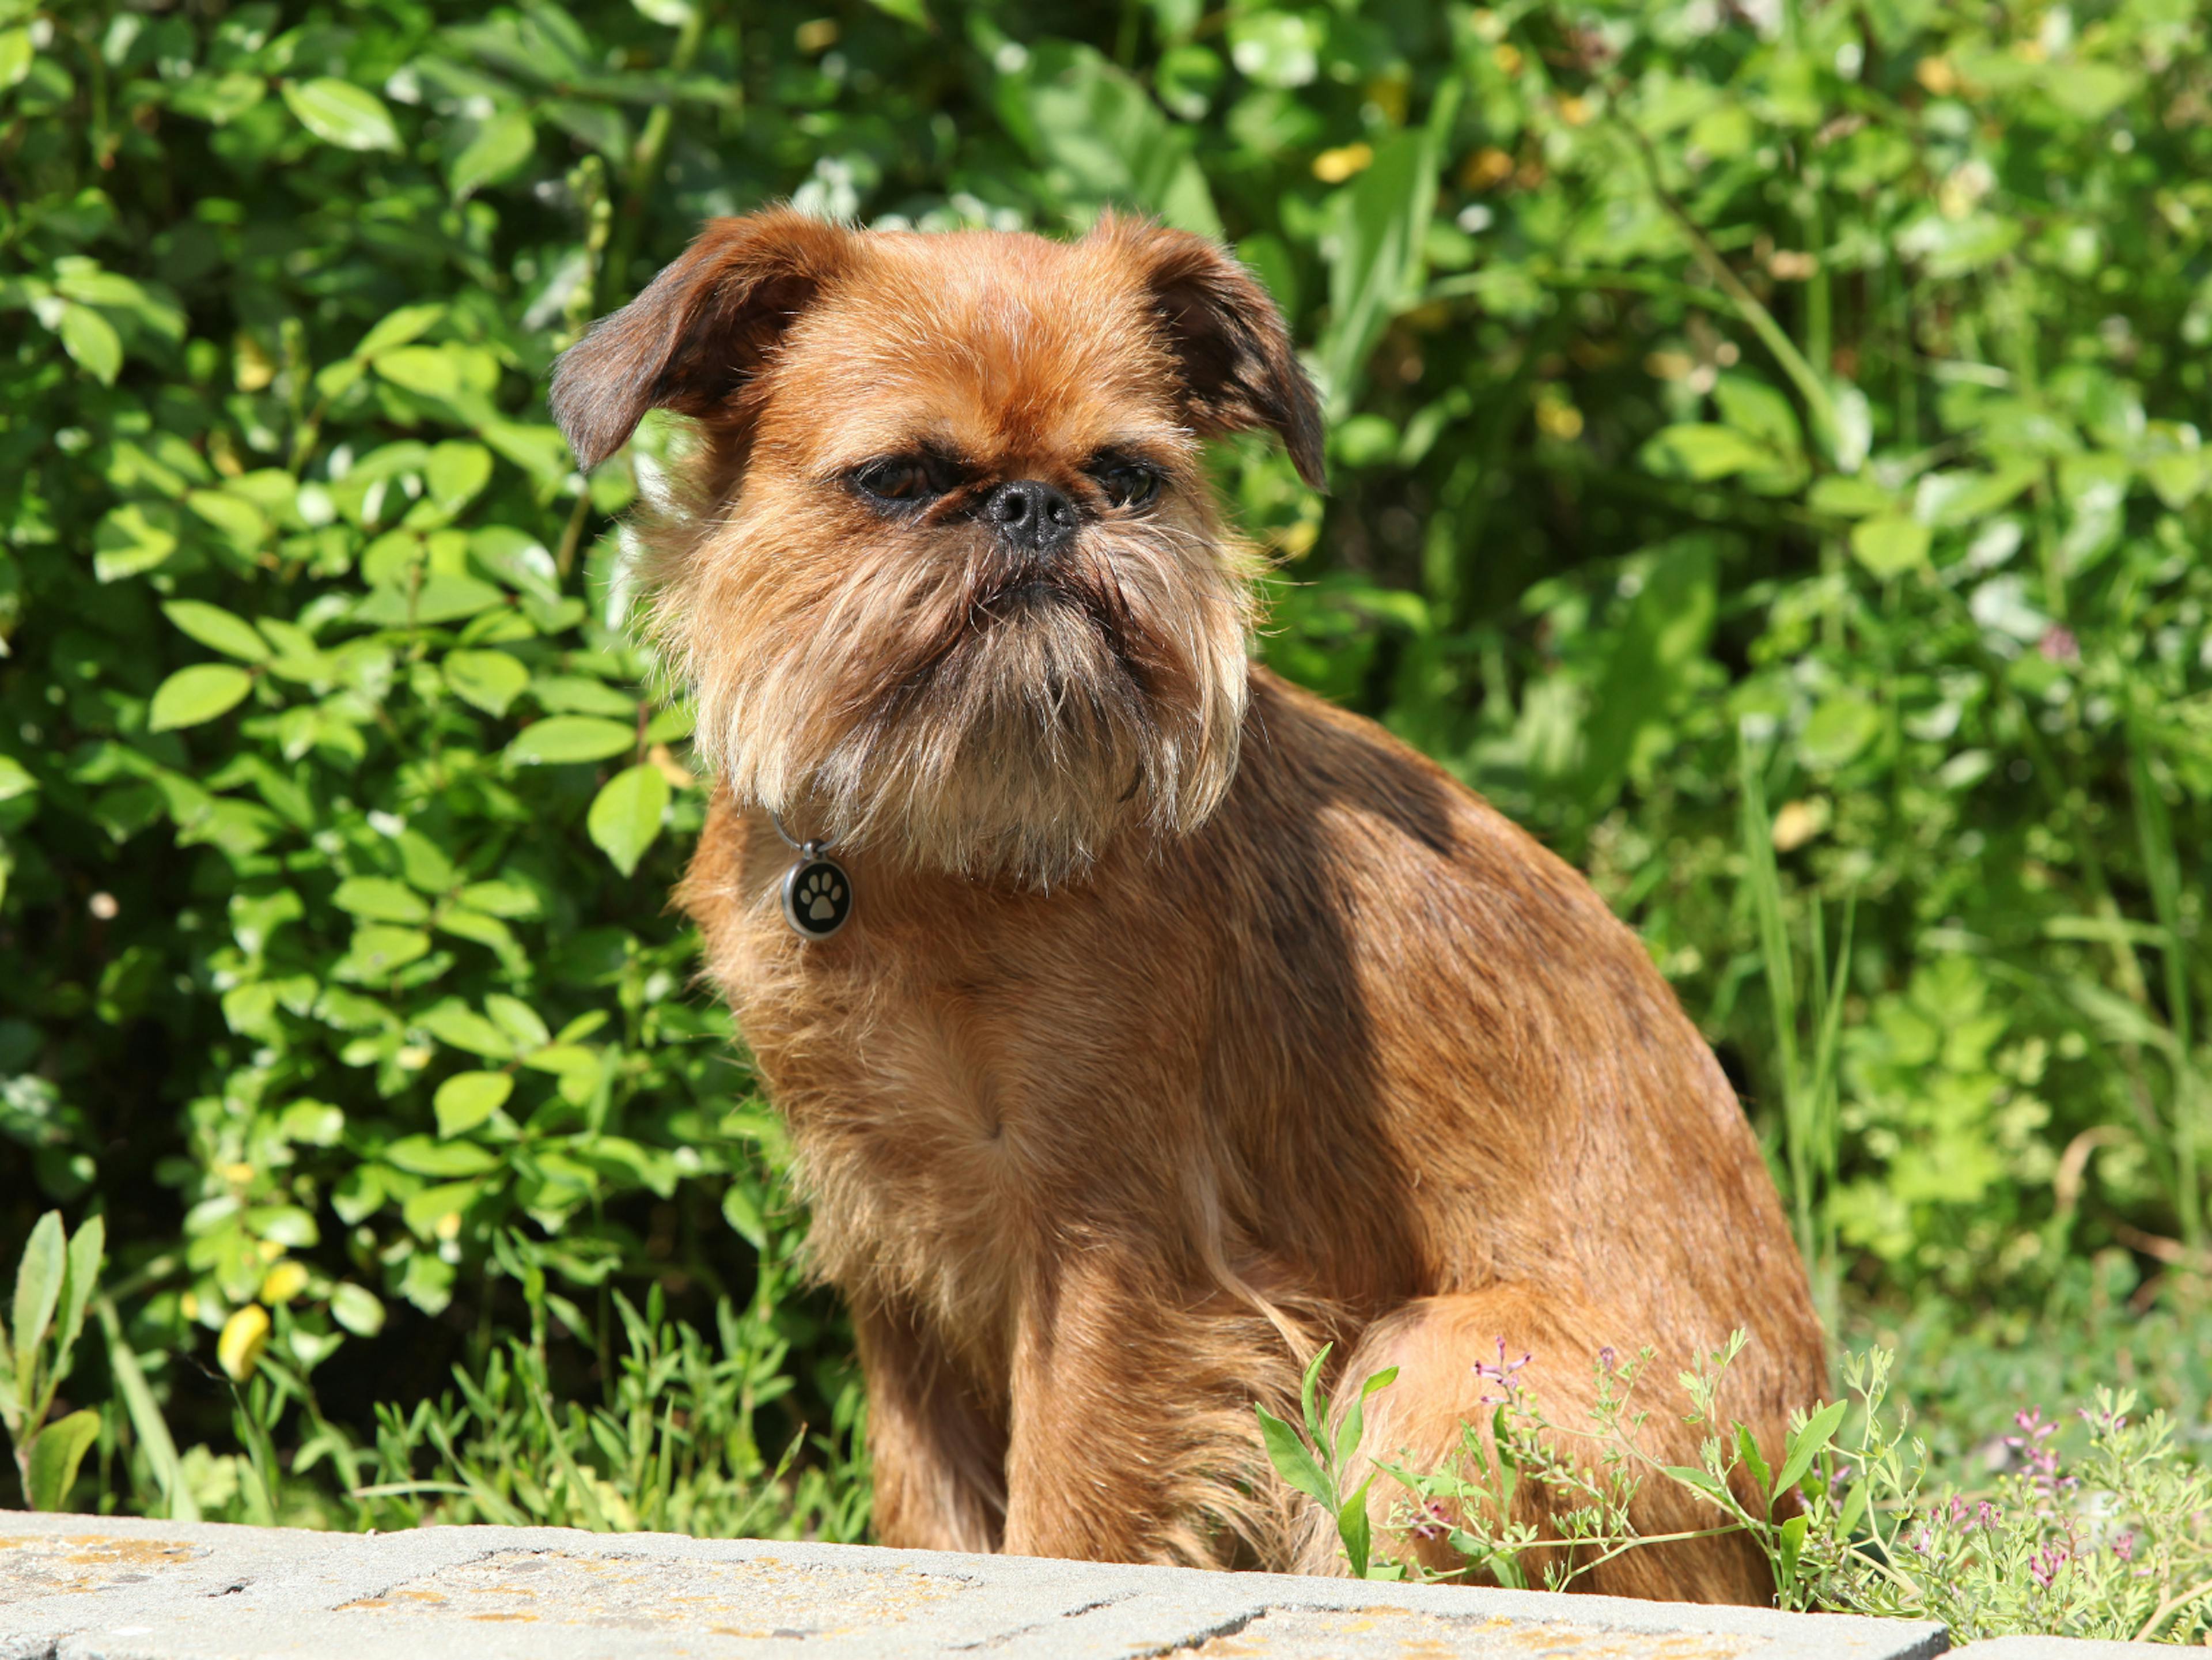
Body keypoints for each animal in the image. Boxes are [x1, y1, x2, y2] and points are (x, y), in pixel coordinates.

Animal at [548, 208, 1813, 1602]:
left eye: (1130, 475)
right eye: (898, 478)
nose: (1036, 503)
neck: (932, 847)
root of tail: (1796, 1502)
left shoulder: (1111, 1250)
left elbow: (1067, 1510)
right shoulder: (892, 1245)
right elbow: (925, 1502)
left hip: (1434, 1378)